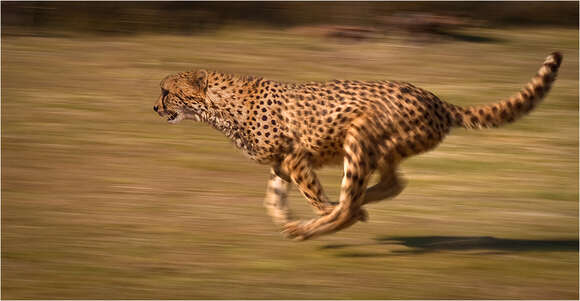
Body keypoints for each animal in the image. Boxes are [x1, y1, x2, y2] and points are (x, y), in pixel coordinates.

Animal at [153, 51, 560, 239]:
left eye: (166, 91)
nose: (155, 107)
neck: (219, 106)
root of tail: (436, 99)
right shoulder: (281, 163)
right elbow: (272, 199)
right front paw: (285, 218)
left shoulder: (296, 157)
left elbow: (314, 197)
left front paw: (309, 218)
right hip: (386, 149)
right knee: (393, 183)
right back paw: (358, 204)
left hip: (360, 135)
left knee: (351, 201)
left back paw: (325, 222)